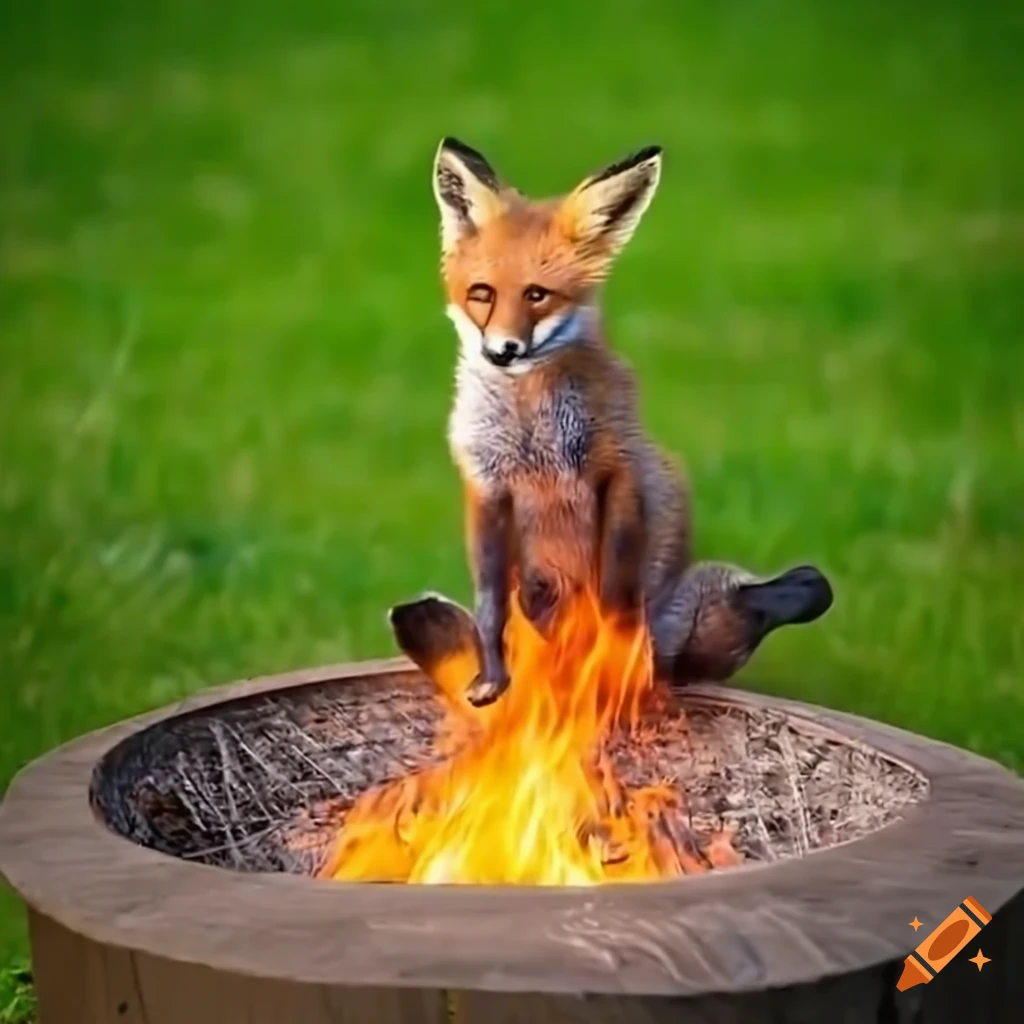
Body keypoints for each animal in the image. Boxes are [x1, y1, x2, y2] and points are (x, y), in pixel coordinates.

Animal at [390, 137, 833, 708]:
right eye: (482, 294)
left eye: (537, 295)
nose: (502, 351)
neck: (532, 429)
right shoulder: (487, 487)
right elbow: (489, 608)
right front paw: (491, 678)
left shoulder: (616, 474)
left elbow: (613, 595)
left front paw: (605, 664)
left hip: (697, 621)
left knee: (772, 599)